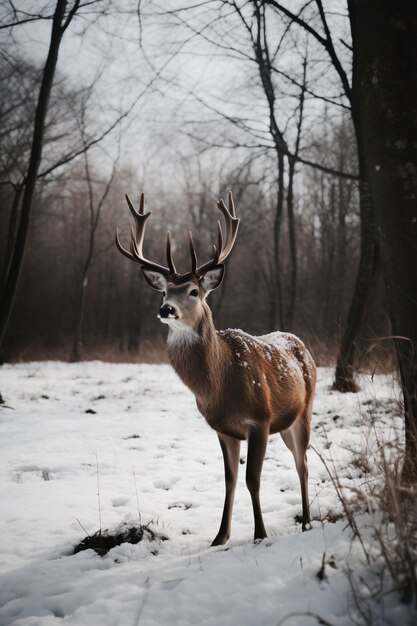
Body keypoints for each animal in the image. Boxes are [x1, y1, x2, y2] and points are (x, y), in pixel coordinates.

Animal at [114, 193, 316, 544]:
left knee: (302, 462)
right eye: (165, 291)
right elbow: (230, 480)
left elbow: (252, 479)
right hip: (287, 421)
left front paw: (260, 534)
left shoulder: (260, 419)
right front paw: (220, 537)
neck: (220, 386)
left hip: (306, 409)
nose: (165, 309)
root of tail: (299, 342)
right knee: (299, 459)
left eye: (194, 291)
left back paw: (306, 521)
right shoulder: (222, 428)